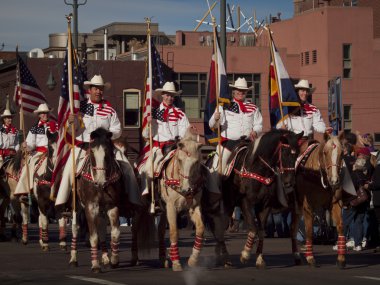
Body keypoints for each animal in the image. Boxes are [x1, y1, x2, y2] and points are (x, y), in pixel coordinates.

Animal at [155, 129, 205, 270]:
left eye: (196, 162)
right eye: (180, 160)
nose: (186, 189)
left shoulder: (195, 206)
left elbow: (200, 228)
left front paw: (193, 259)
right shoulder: (171, 207)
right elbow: (173, 232)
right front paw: (176, 262)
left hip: (163, 211)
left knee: (160, 230)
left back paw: (163, 259)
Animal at [202, 129, 302, 266]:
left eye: (297, 154)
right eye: (285, 153)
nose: (289, 182)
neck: (257, 168)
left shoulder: (265, 205)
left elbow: (261, 231)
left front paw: (259, 258)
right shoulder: (246, 202)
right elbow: (253, 228)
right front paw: (245, 254)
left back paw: (221, 256)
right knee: (219, 227)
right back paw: (225, 257)